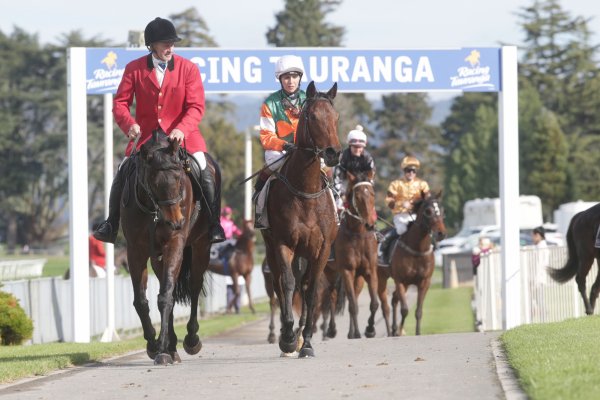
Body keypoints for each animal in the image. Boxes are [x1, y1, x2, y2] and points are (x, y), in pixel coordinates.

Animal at [120, 132, 216, 366]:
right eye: (153, 183)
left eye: (180, 178)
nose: (176, 222)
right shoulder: (135, 250)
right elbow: (142, 301)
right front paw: (155, 345)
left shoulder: (174, 243)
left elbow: (166, 297)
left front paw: (162, 350)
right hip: (158, 258)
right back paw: (172, 347)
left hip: (201, 247)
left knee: (194, 287)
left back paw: (190, 339)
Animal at [260, 80, 340, 356]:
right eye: (312, 116)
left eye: (336, 117)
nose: (333, 153)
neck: (306, 191)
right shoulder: (283, 243)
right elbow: (286, 283)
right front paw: (287, 336)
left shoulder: (322, 248)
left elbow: (311, 288)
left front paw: (306, 341)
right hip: (272, 247)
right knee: (279, 283)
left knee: (304, 285)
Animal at [330, 170, 378, 340]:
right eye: (357, 195)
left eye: (372, 193)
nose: (370, 224)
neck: (358, 234)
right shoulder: (347, 271)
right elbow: (352, 304)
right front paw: (358, 332)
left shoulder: (369, 271)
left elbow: (374, 303)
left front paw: (369, 329)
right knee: (331, 297)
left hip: (358, 278)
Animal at [380, 192, 446, 336]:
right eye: (428, 211)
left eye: (442, 210)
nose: (441, 233)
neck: (417, 250)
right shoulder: (400, 280)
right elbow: (404, 310)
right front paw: (400, 331)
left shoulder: (424, 282)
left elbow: (418, 311)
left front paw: (417, 332)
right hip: (380, 278)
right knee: (385, 305)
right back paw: (390, 331)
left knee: (394, 299)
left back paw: (394, 328)